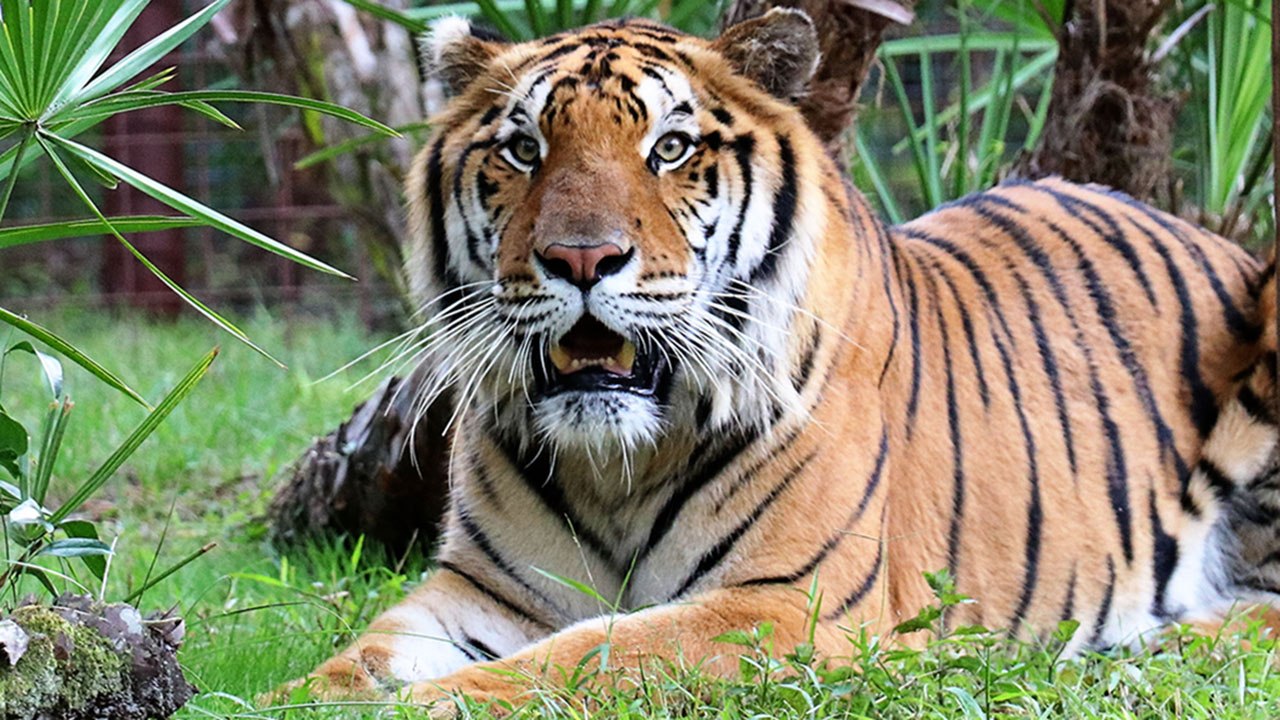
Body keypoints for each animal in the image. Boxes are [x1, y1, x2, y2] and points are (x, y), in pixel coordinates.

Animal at [283, 9, 1279, 709]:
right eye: (523, 149)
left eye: (670, 148)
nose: (579, 259)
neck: (615, 468)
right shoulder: (481, 593)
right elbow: (352, 661)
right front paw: (290, 696)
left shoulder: (783, 603)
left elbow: (584, 655)